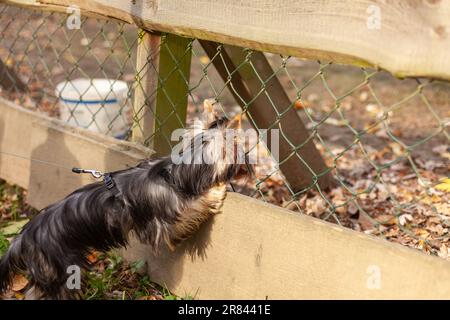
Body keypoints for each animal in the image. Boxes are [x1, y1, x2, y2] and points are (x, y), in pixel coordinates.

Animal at [0, 105, 251, 300]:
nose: (248, 167)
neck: (177, 172)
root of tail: (22, 239)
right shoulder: (166, 224)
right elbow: (193, 207)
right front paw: (216, 192)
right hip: (62, 268)